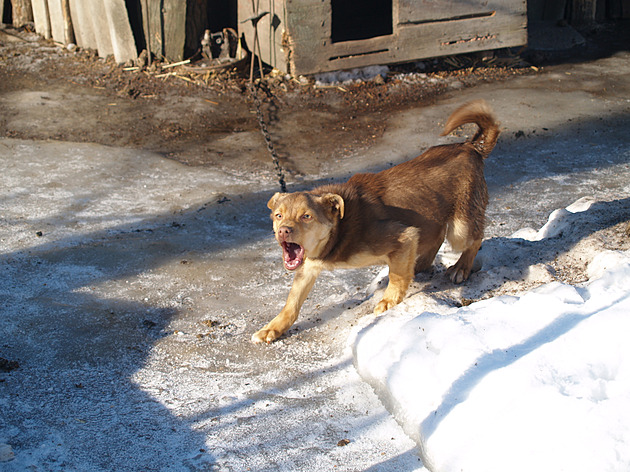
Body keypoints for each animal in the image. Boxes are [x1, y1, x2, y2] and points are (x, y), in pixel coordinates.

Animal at [252, 99, 498, 342]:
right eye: (279, 215)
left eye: (306, 216)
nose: (283, 231)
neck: (339, 229)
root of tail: (470, 147)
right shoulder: (307, 268)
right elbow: (292, 302)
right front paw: (273, 328)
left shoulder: (404, 235)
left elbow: (397, 277)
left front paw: (388, 301)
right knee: (436, 237)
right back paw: (419, 265)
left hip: (461, 228)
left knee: (475, 239)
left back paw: (461, 268)